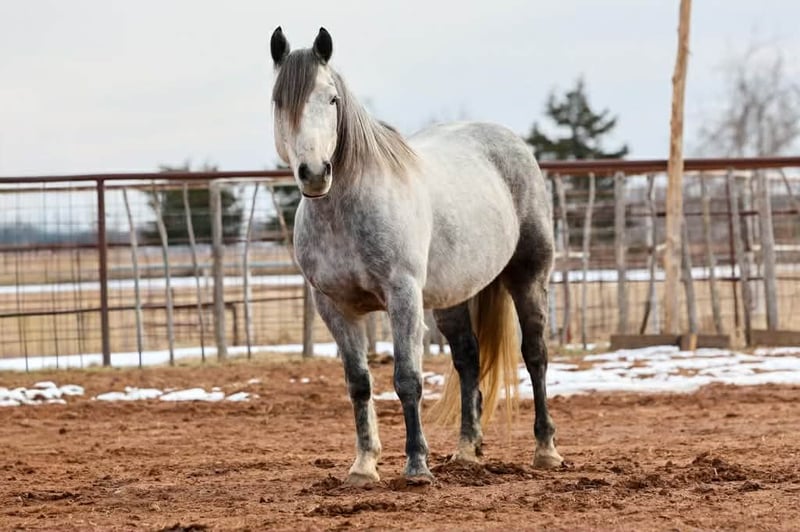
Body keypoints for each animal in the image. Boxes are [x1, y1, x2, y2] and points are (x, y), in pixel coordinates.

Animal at [269, 26, 563, 485]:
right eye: (280, 101)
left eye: (332, 99)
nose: (315, 173)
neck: (346, 212)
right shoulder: (333, 306)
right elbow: (359, 384)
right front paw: (363, 465)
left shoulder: (403, 296)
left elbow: (407, 379)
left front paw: (416, 466)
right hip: (454, 295)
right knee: (467, 360)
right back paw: (466, 450)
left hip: (529, 276)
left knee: (535, 355)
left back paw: (545, 449)